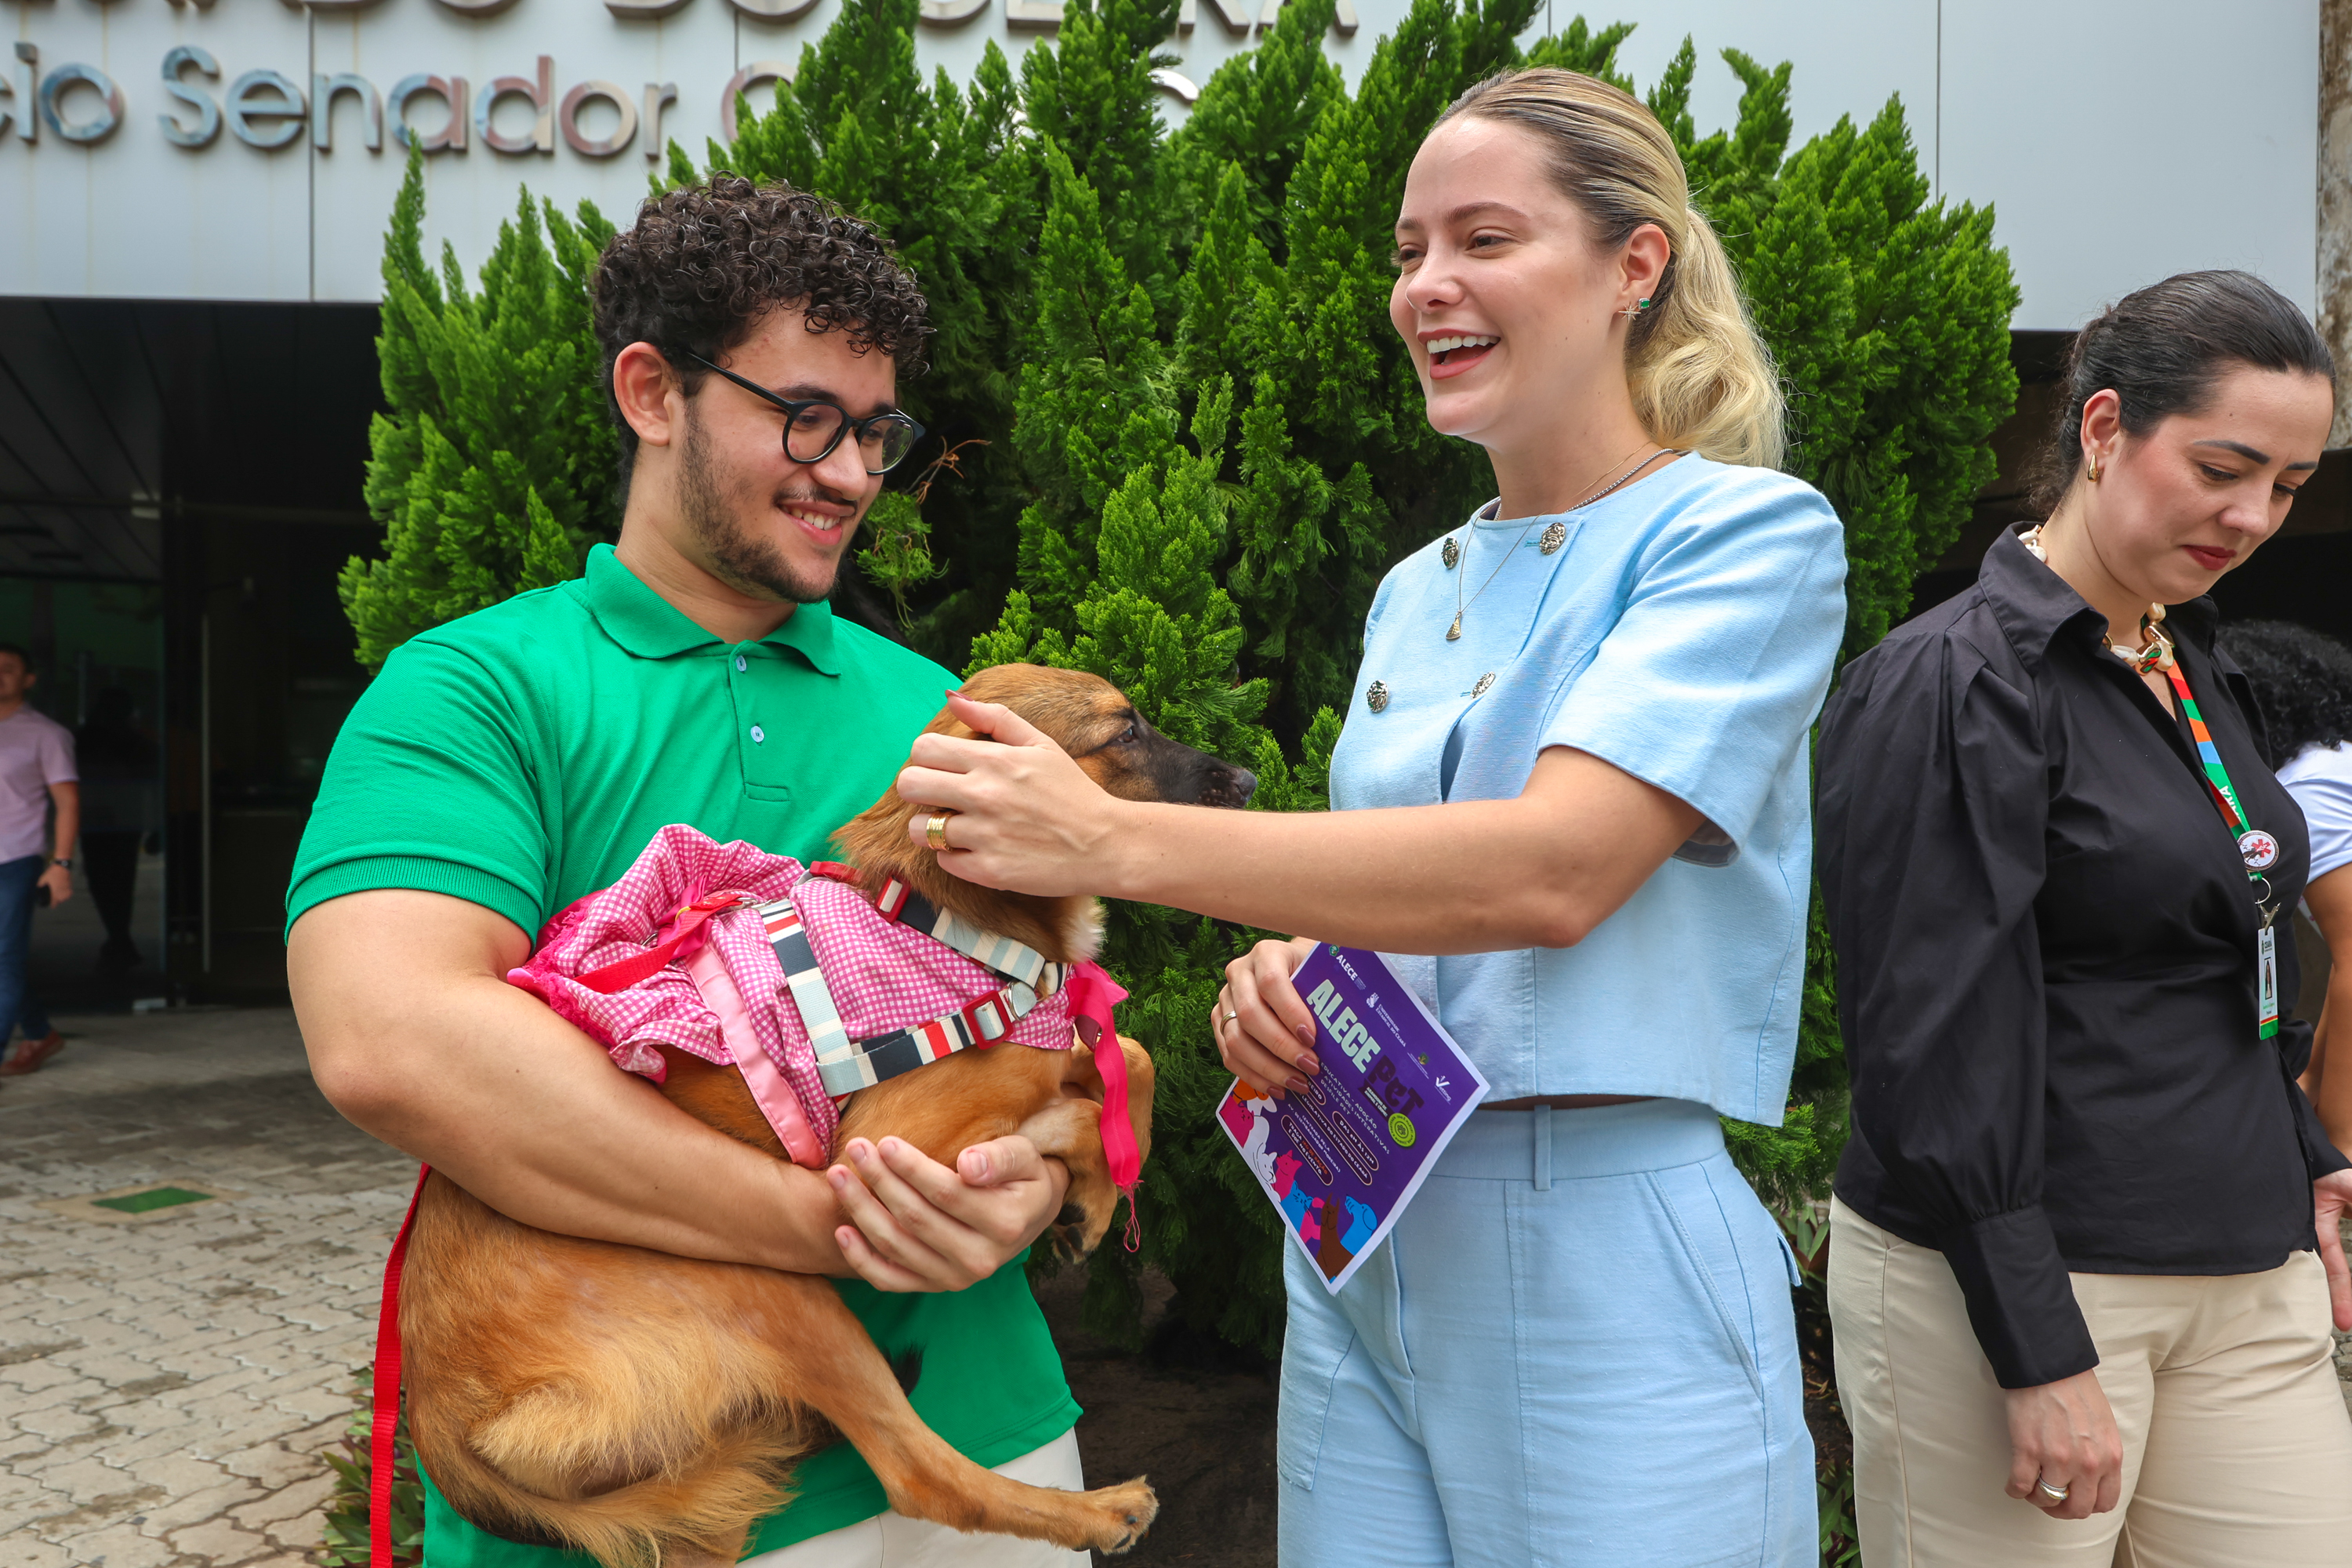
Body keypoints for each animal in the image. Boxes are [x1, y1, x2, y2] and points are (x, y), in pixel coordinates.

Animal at [396, 665, 1258, 1568]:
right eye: (1123, 733)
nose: (1250, 780)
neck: (948, 921)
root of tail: (444, 1432)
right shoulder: (886, 1142)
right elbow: (1069, 1099)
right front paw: (1089, 1186)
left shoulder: (1046, 1039)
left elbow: (1128, 1053)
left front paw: (1099, 1175)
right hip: (768, 1287)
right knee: (922, 1474)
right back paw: (1097, 1511)